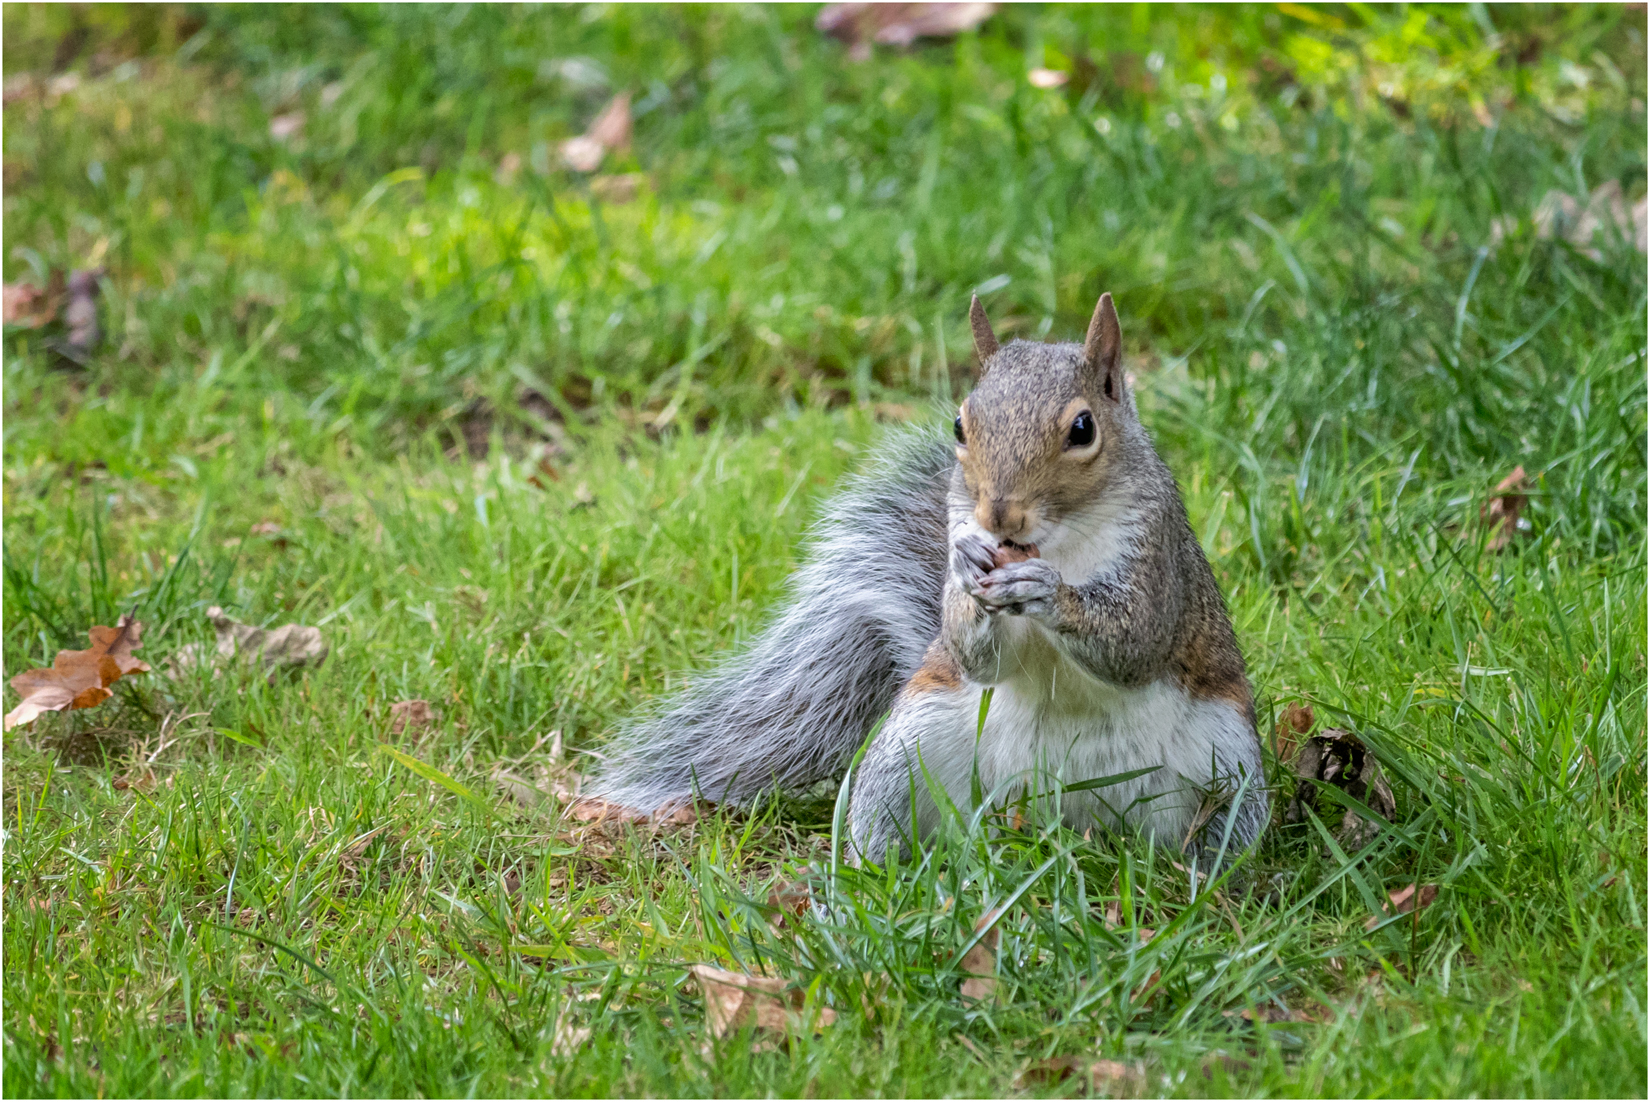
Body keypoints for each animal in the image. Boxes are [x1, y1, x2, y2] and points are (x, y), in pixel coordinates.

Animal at [590, 291, 1260, 857]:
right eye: (960, 424)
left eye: (1083, 427)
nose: (998, 515)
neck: (1055, 541)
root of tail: (1063, 823)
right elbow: (979, 656)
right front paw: (965, 567)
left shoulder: (1156, 555)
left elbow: (1134, 641)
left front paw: (1048, 592)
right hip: (909, 745)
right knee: (885, 817)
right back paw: (860, 881)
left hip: (1230, 769)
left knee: (1222, 835)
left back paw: (1204, 881)